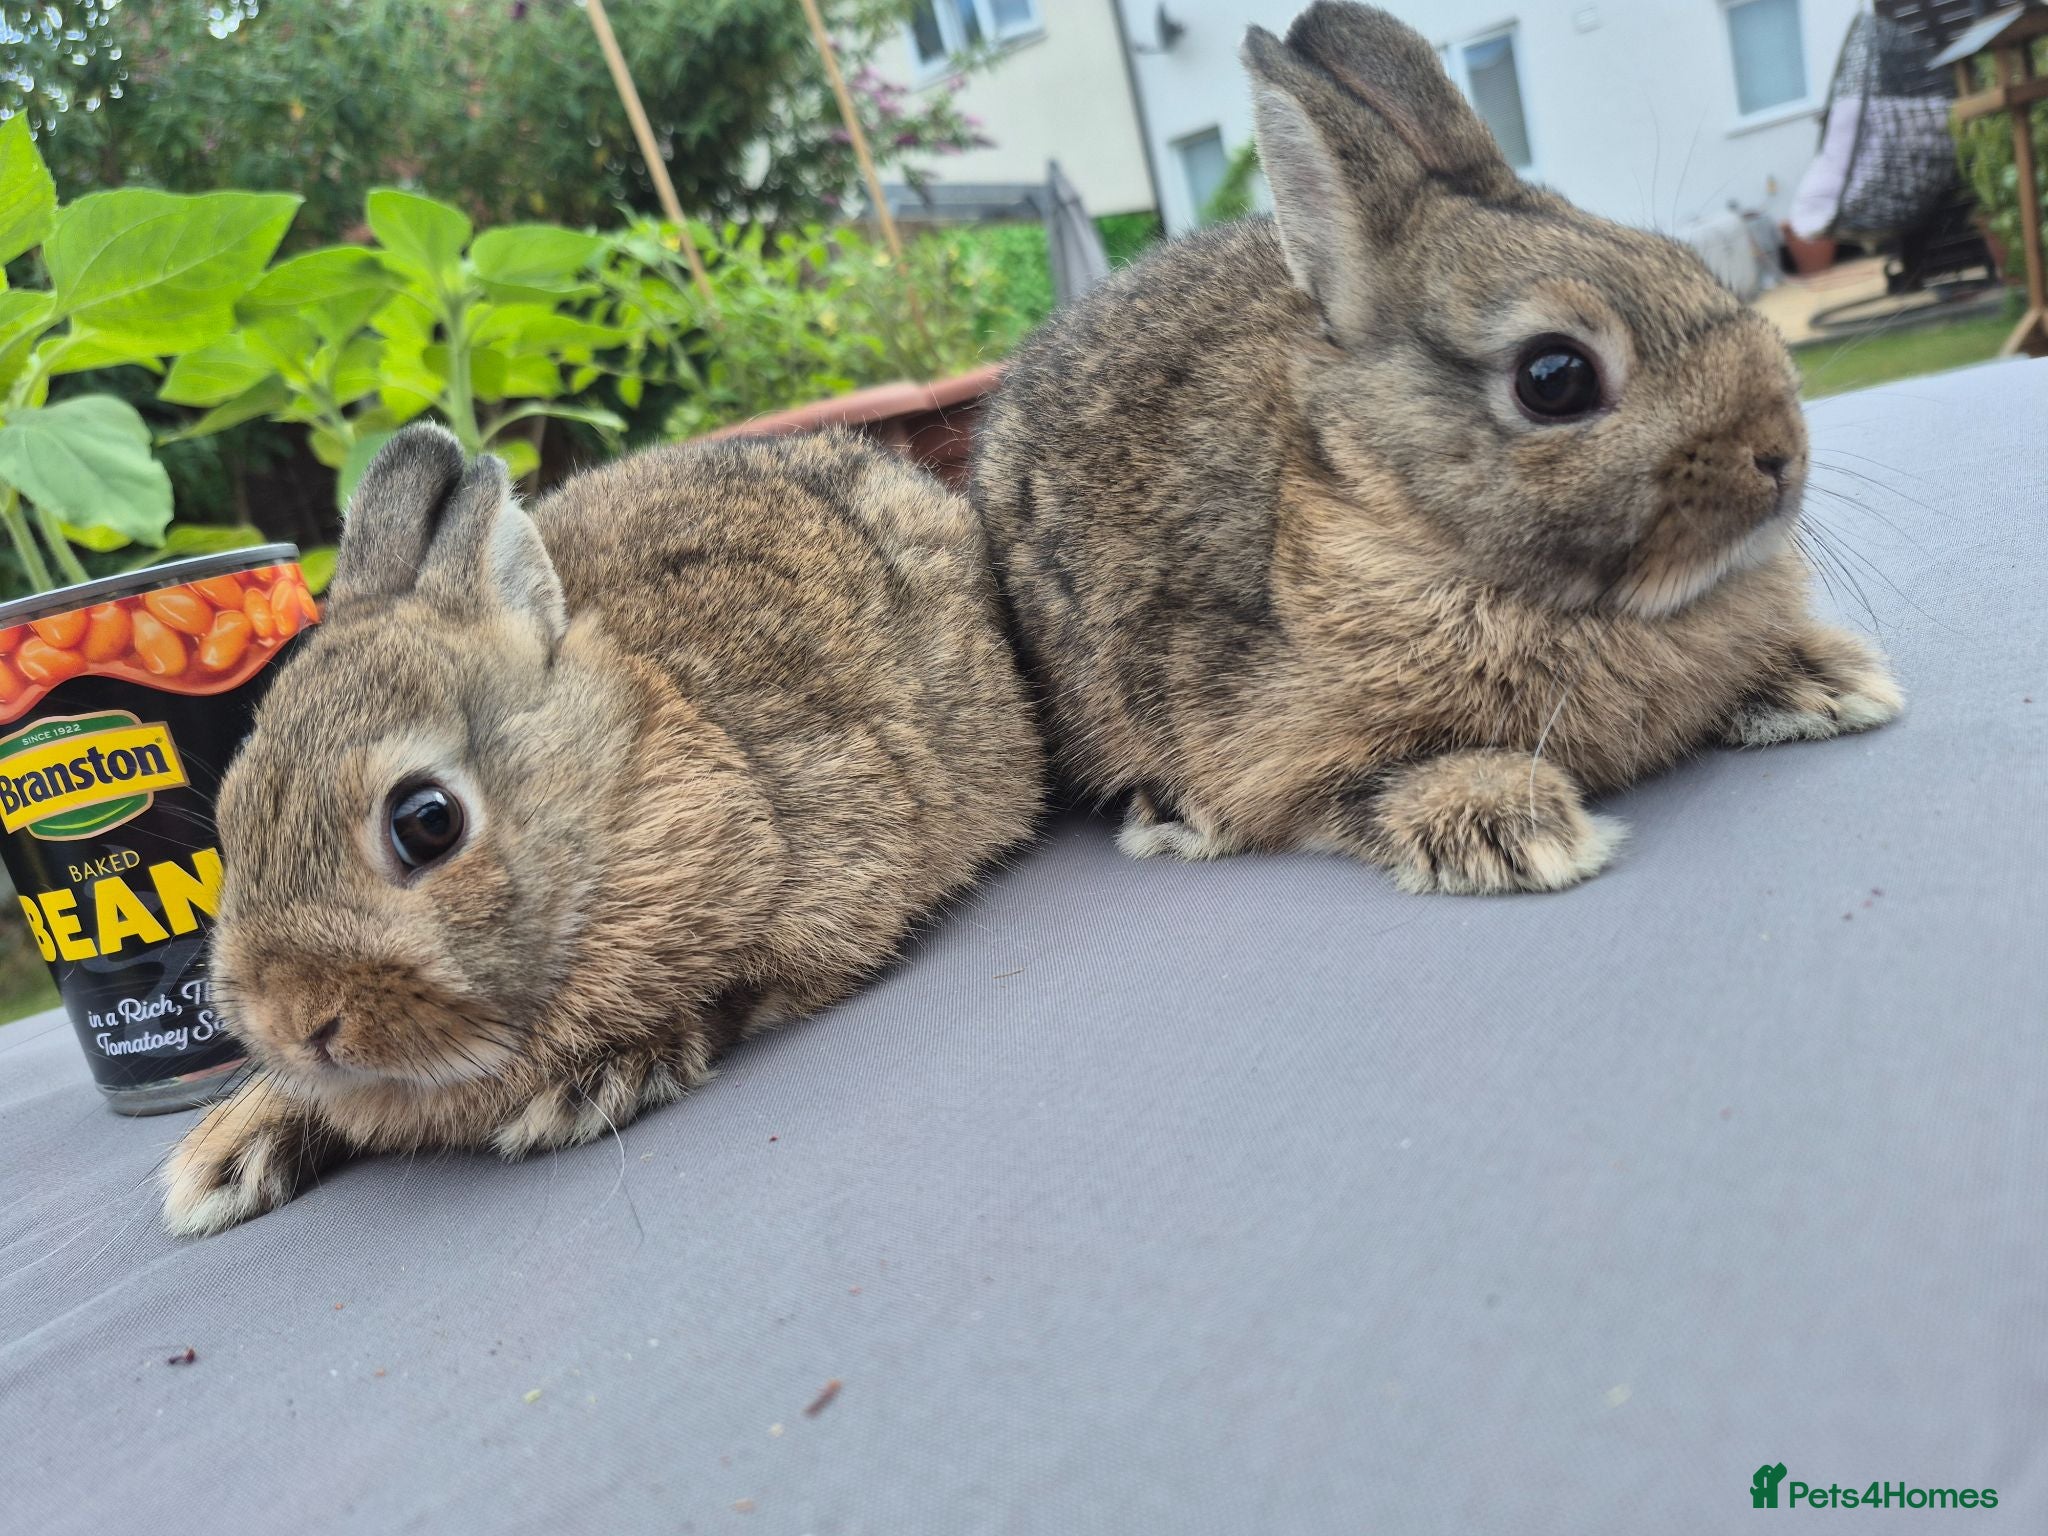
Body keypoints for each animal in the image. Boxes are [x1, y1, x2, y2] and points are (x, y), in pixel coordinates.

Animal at [161, 425, 1044, 1236]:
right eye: (232, 818)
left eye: (427, 822)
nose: (295, 1024)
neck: (608, 805)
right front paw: (218, 1162)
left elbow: (730, 993)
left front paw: (588, 1085)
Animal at [972, 1, 1900, 896]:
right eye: (1554, 376)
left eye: (1683, 263)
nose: (1780, 454)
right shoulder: (1274, 744)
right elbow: (1364, 789)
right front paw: (1517, 831)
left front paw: (1830, 682)